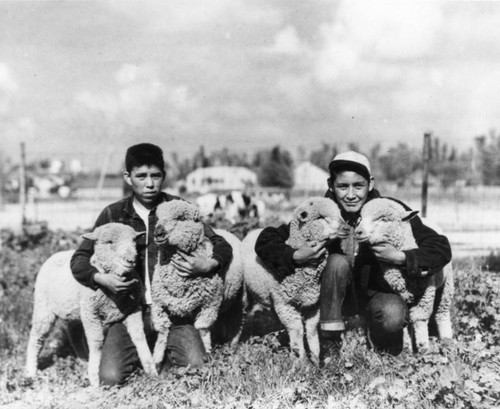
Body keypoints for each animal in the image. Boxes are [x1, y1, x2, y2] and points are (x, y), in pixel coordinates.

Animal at [24, 223, 157, 386]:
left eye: (134, 241)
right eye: (109, 242)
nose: (131, 260)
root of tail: (55, 255)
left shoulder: (132, 309)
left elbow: (139, 336)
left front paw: (152, 371)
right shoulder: (91, 313)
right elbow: (96, 342)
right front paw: (95, 377)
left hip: (75, 311)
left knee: (74, 333)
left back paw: (83, 360)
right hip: (43, 308)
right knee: (37, 337)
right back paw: (30, 372)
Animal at [150, 198, 225, 366]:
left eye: (181, 218)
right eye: (157, 217)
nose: (158, 233)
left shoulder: (210, 304)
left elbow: (203, 329)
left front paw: (207, 352)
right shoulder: (158, 304)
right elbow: (162, 331)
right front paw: (156, 359)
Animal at [242, 196, 348, 364]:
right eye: (320, 217)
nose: (347, 228)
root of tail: (253, 231)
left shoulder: (313, 305)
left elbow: (311, 331)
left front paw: (316, 360)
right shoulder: (286, 305)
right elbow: (297, 331)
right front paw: (300, 362)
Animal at [354, 198, 456, 350]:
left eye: (383, 219)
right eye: (360, 218)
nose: (358, 231)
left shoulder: (427, 292)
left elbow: (420, 318)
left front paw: (423, 346)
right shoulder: (401, 293)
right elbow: (405, 322)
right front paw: (407, 346)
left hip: (446, 284)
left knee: (442, 312)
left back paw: (446, 339)